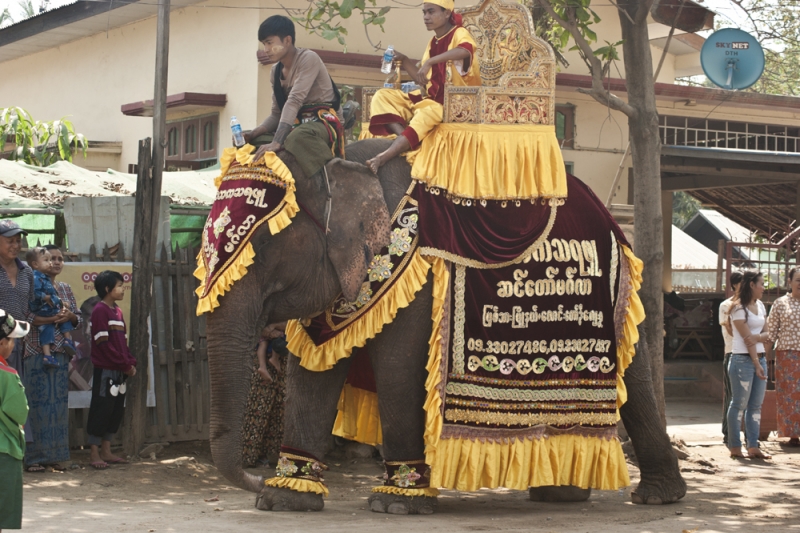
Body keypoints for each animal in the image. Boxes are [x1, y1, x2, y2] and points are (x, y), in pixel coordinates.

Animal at [195, 136, 688, 512]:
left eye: (263, 244)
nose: (253, 481)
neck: (347, 160)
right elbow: (314, 369)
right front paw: (284, 499)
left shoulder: (416, 275)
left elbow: (398, 368)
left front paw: (397, 504)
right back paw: (563, 496)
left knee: (634, 377)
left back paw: (655, 498)